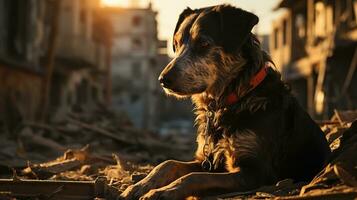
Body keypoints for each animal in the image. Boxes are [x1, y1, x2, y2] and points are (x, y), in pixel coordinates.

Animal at [120, 4, 330, 200]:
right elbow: (168, 163)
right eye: (176, 43)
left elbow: (195, 177)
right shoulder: (208, 160)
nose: (163, 80)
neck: (236, 98)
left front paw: (164, 191)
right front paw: (140, 185)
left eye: (203, 43)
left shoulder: (257, 172)